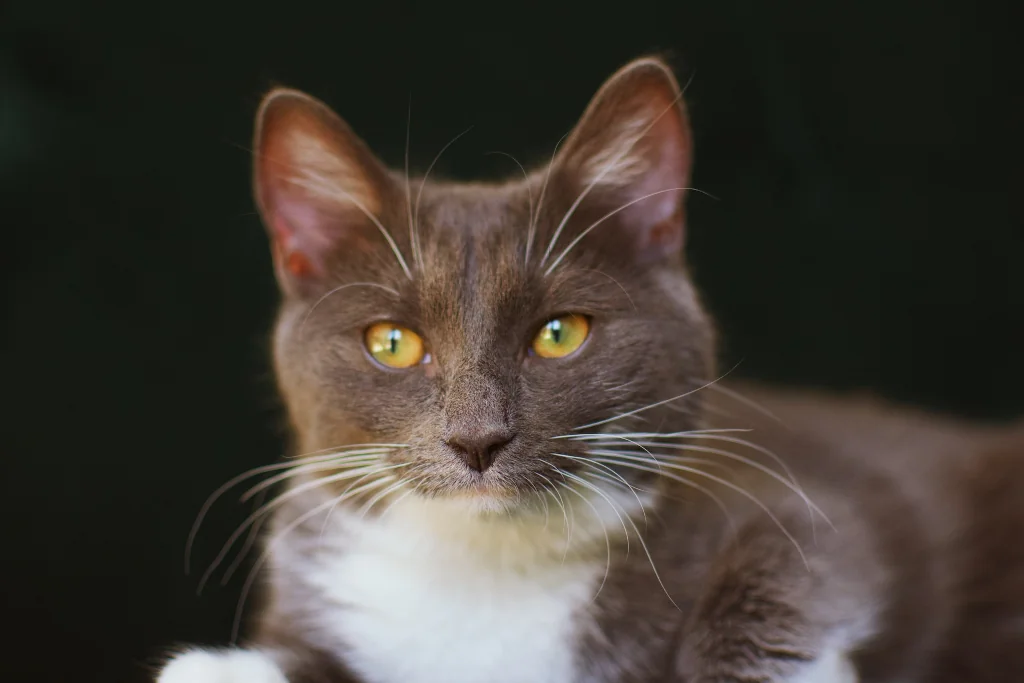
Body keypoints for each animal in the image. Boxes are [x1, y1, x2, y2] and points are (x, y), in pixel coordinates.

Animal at [155, 56, 1024, 679]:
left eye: (558, 334)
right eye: (392, 342)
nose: (477, 439)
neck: (488, 571)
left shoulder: (807, 494)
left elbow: (811, 553)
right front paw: (215, 667)